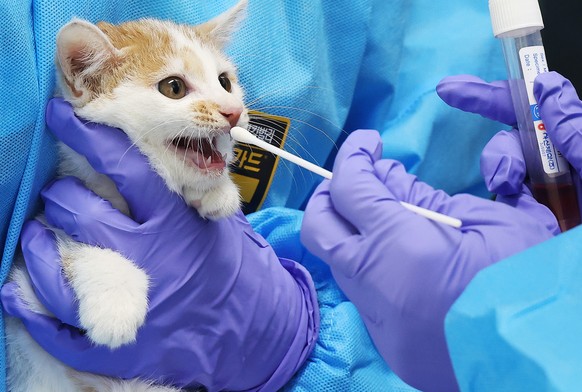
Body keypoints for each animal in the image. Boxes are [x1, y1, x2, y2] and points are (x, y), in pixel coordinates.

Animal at [5, 1, 251, 390]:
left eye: (225, 82)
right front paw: (115, 298)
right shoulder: (27, 285)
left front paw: (216, 192)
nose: (233, 111)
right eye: (174, 87)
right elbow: (66, 239)